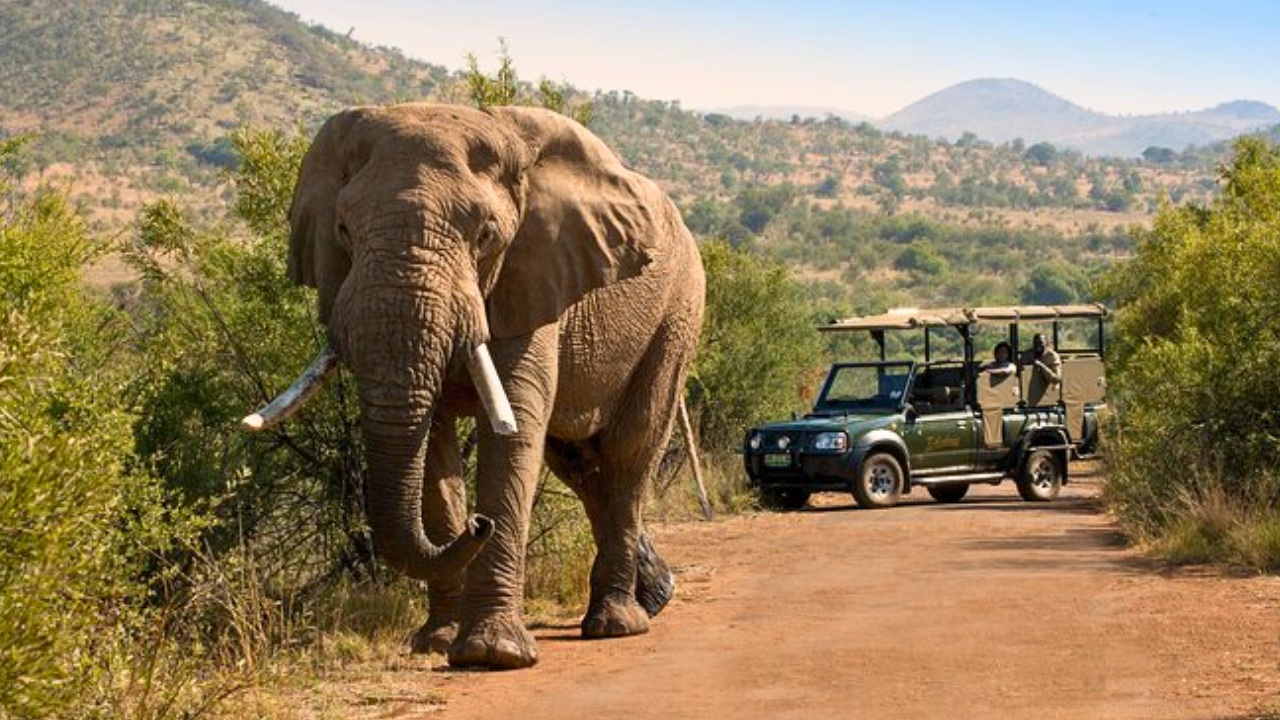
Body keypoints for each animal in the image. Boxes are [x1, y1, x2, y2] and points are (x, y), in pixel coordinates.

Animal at [241, 103, 705, 670]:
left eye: (485, 236)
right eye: (344, 230)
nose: (477, 525)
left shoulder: (530, 277)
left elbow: (514, 429)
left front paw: (493, 653)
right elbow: (433, 448)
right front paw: (437, 642)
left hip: (678, 313)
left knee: (628, 451)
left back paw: (617, 623)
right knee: (578, 464)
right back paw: (655, 596)